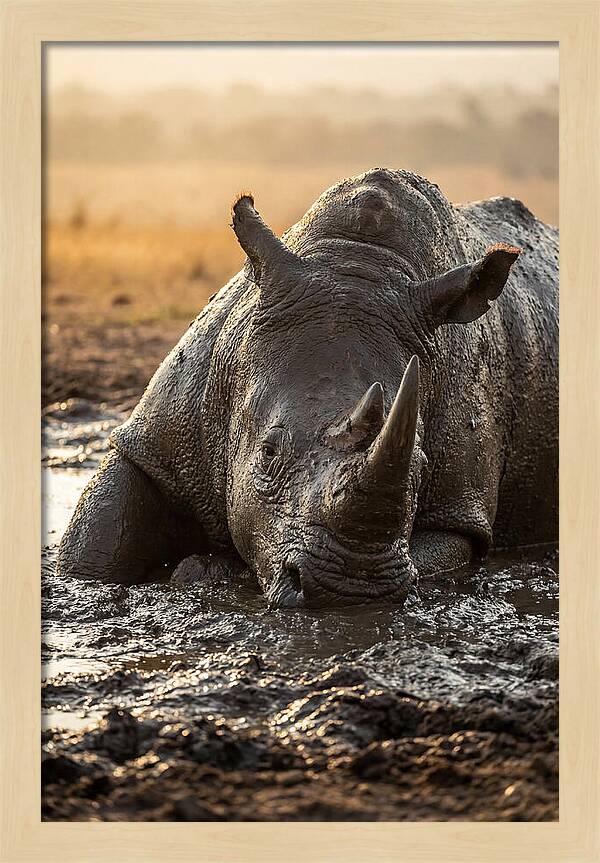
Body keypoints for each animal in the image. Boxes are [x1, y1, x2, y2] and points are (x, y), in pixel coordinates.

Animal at [57, 168, 558, 608]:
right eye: (267, 453)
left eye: (420, 465)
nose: (351, 589)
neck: (360, 263)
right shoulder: (156, 439)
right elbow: (95, 546)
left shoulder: (460, 510)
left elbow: (440, 551)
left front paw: (205, 571)